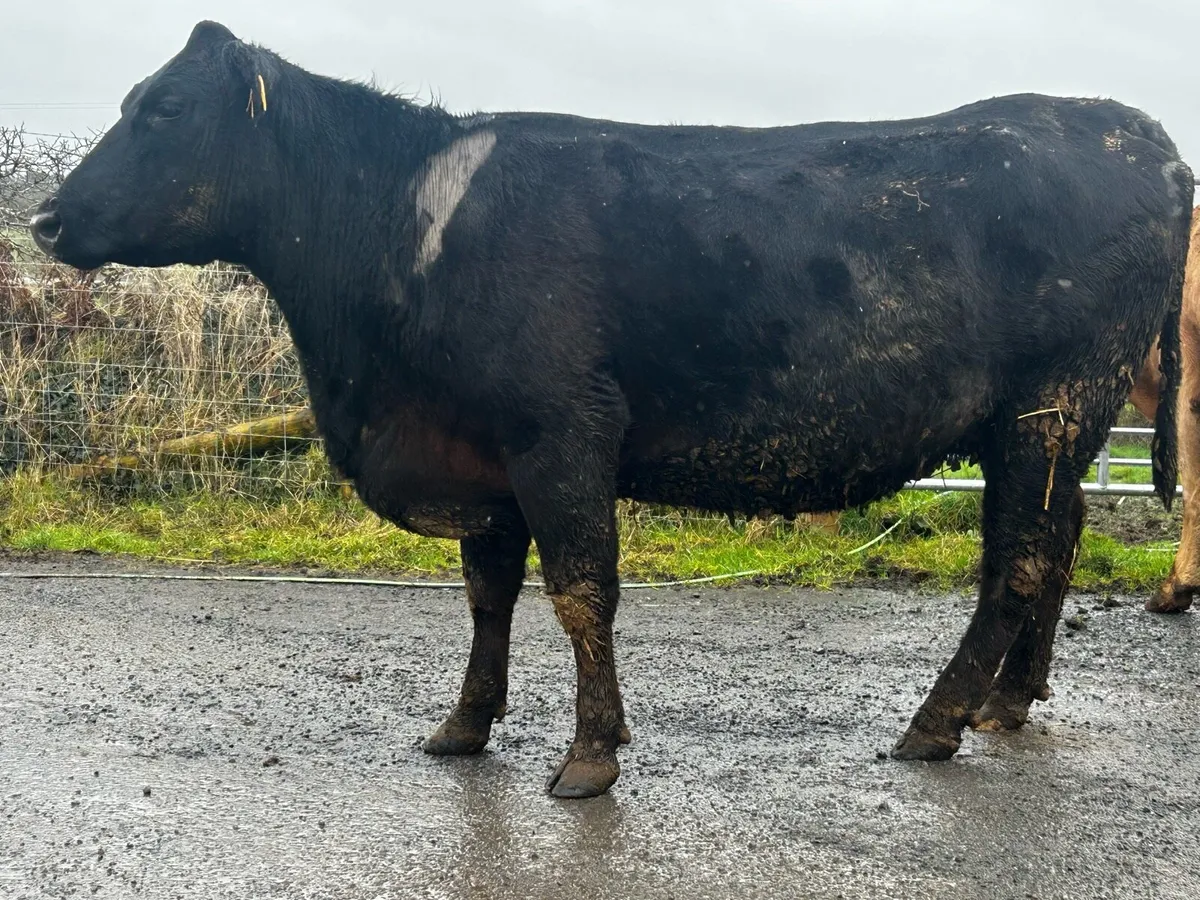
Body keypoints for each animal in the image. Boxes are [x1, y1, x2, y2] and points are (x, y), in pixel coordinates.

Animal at [30, 21, 1193, 798]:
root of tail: (1126, 127)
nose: (43, 218)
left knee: (1020, 564)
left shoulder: (562, 432)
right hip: (1044, 428)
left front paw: (589, 757)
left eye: (164, 109)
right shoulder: (480, 454)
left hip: (1050, 407)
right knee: (1053, 542)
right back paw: (1004, 702)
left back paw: (938, 720)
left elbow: (581, 594)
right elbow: (487, 596)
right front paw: (465, 725)